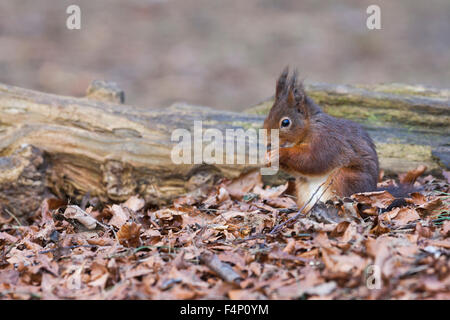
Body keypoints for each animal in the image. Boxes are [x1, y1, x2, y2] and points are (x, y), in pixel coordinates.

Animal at [262, 68, 382, 210]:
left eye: (285, 122)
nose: (267, 142)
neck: (310, 127)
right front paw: (266, 158)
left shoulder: (327, 141)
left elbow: (312, 160)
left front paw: (278, 154)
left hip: (343, 178)